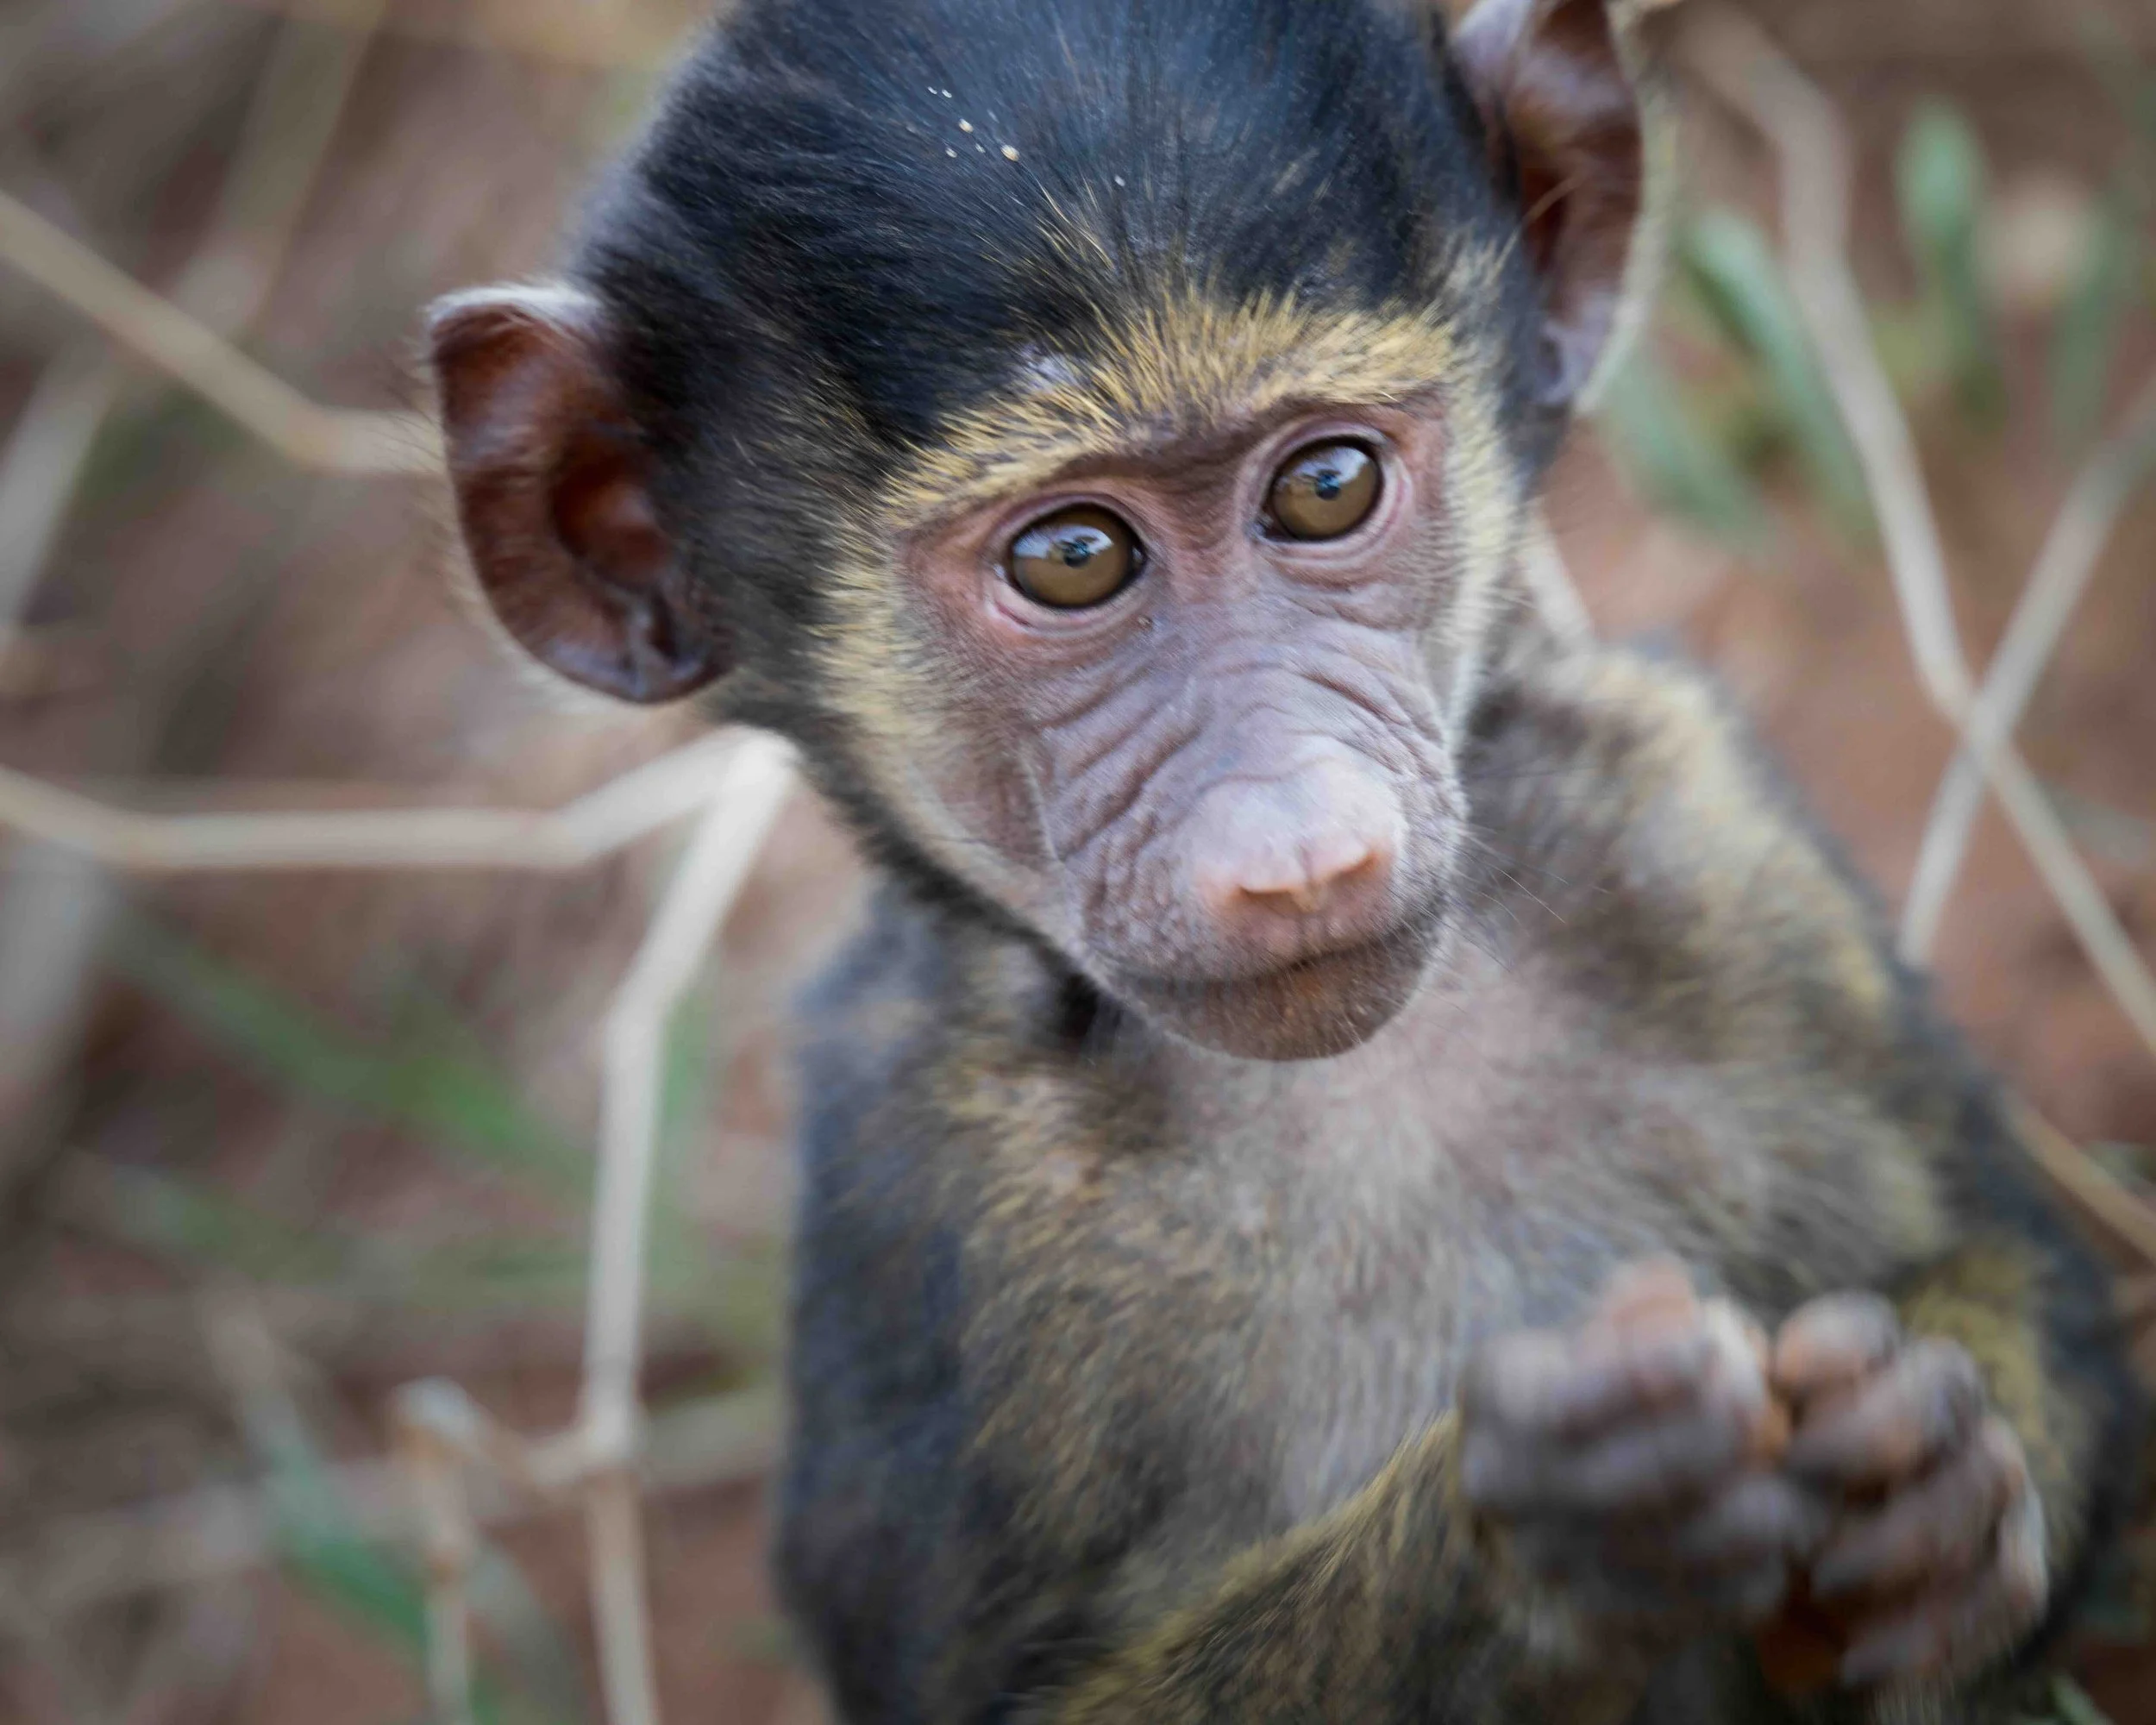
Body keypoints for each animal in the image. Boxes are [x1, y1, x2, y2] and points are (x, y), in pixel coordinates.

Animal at [423, 0, 2143, 1719]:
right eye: (1073, 559)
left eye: (1325, 486)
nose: (1300, 852)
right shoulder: (913, 1181)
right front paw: (1538, 1549)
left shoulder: (1700, 821)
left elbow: (2016, 1253)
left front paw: (1930, 1481)